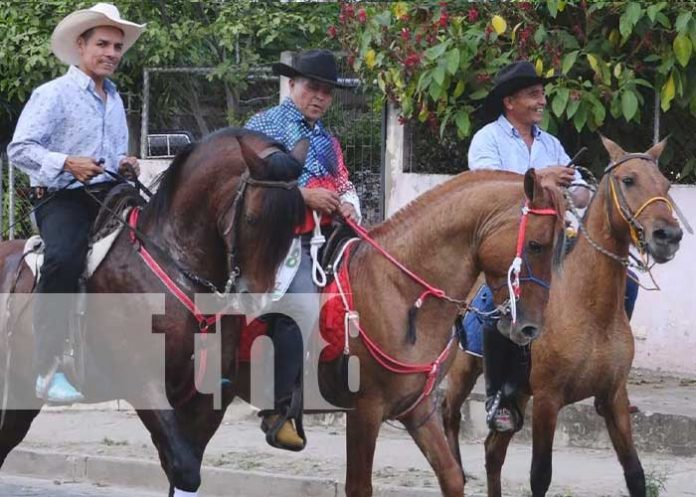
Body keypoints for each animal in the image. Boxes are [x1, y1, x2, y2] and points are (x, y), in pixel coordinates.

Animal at [0, 129, 306, 496]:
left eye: (295, 223)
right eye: (252, 218)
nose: (255, 299)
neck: (174, 263)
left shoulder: (205, 397)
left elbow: (184, 469)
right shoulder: (144, 383)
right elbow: (183, 467)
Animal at [234, 169, 564, 494]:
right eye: (536, 245)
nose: (531, 327)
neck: (399, 289)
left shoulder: (417, 408)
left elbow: (451, 476)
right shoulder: (364, 411)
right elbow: (359, 486)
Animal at [444, 137, 684, 496]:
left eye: (667, 185)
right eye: (628, 180)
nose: (668, 236)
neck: (589, 308)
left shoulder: (614, 397)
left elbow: (635, 473)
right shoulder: (547, 400)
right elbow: (540, 476)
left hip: (517, 394)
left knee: (493, 451)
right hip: (462, 369)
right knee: (449, 416)